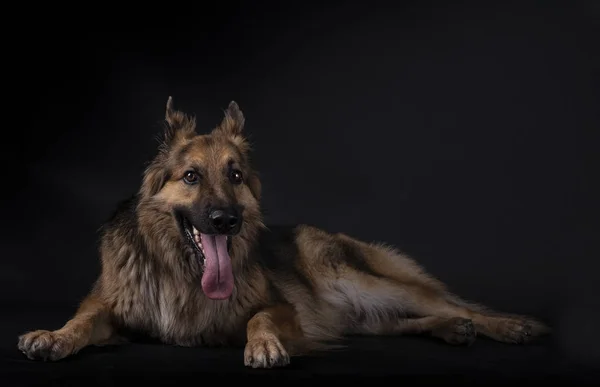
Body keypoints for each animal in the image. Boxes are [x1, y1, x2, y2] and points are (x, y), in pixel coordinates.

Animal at [18, 98, 552, 368]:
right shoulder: (110, 305)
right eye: (191, 176)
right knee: (399, 321)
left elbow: (262, 317)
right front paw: (53, 335)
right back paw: (450, 330)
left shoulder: (285, 309)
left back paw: (507, 326)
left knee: (450, 303)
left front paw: (264, 345)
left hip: (357, 281)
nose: (226, 221)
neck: (181, 273)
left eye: (235, 175)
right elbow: (83, 320)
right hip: (360, 312)